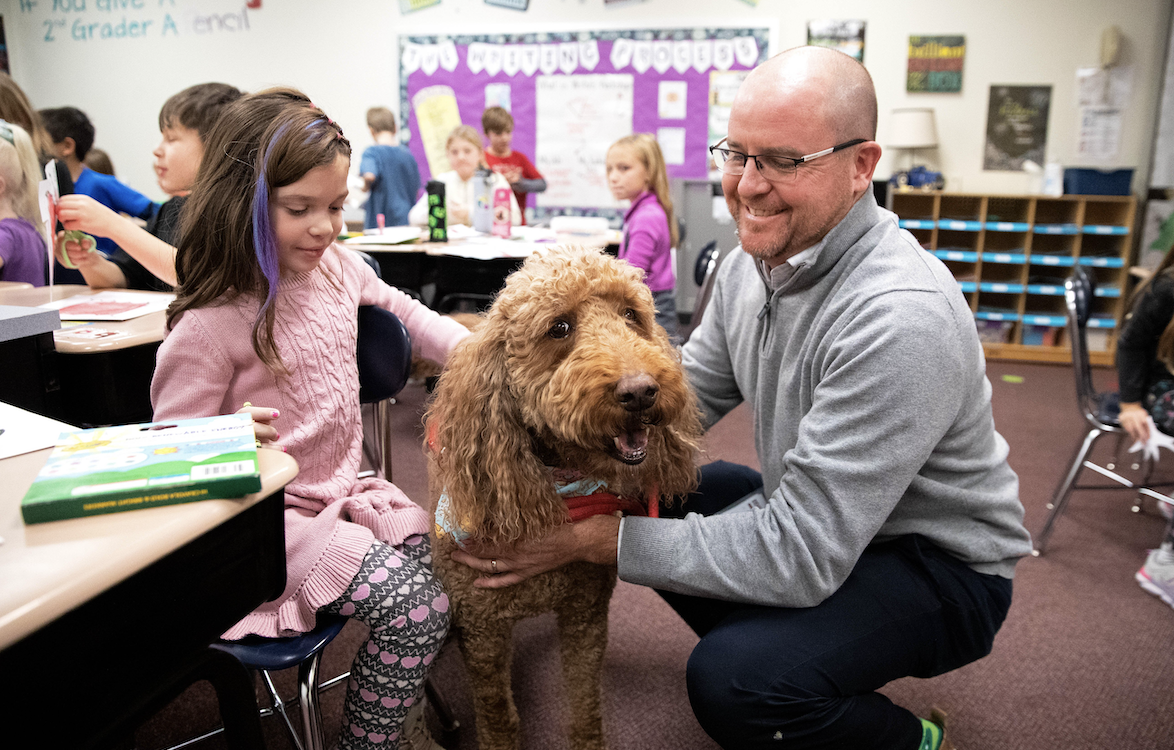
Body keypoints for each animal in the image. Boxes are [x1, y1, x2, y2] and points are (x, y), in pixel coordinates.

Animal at [432, 244, 704, 746]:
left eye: (631, 315)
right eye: (559, 327)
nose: (641, 391)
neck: (556, 484)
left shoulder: (586, 616)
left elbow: (584, 699)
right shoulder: (482, 632)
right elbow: (497, 713)